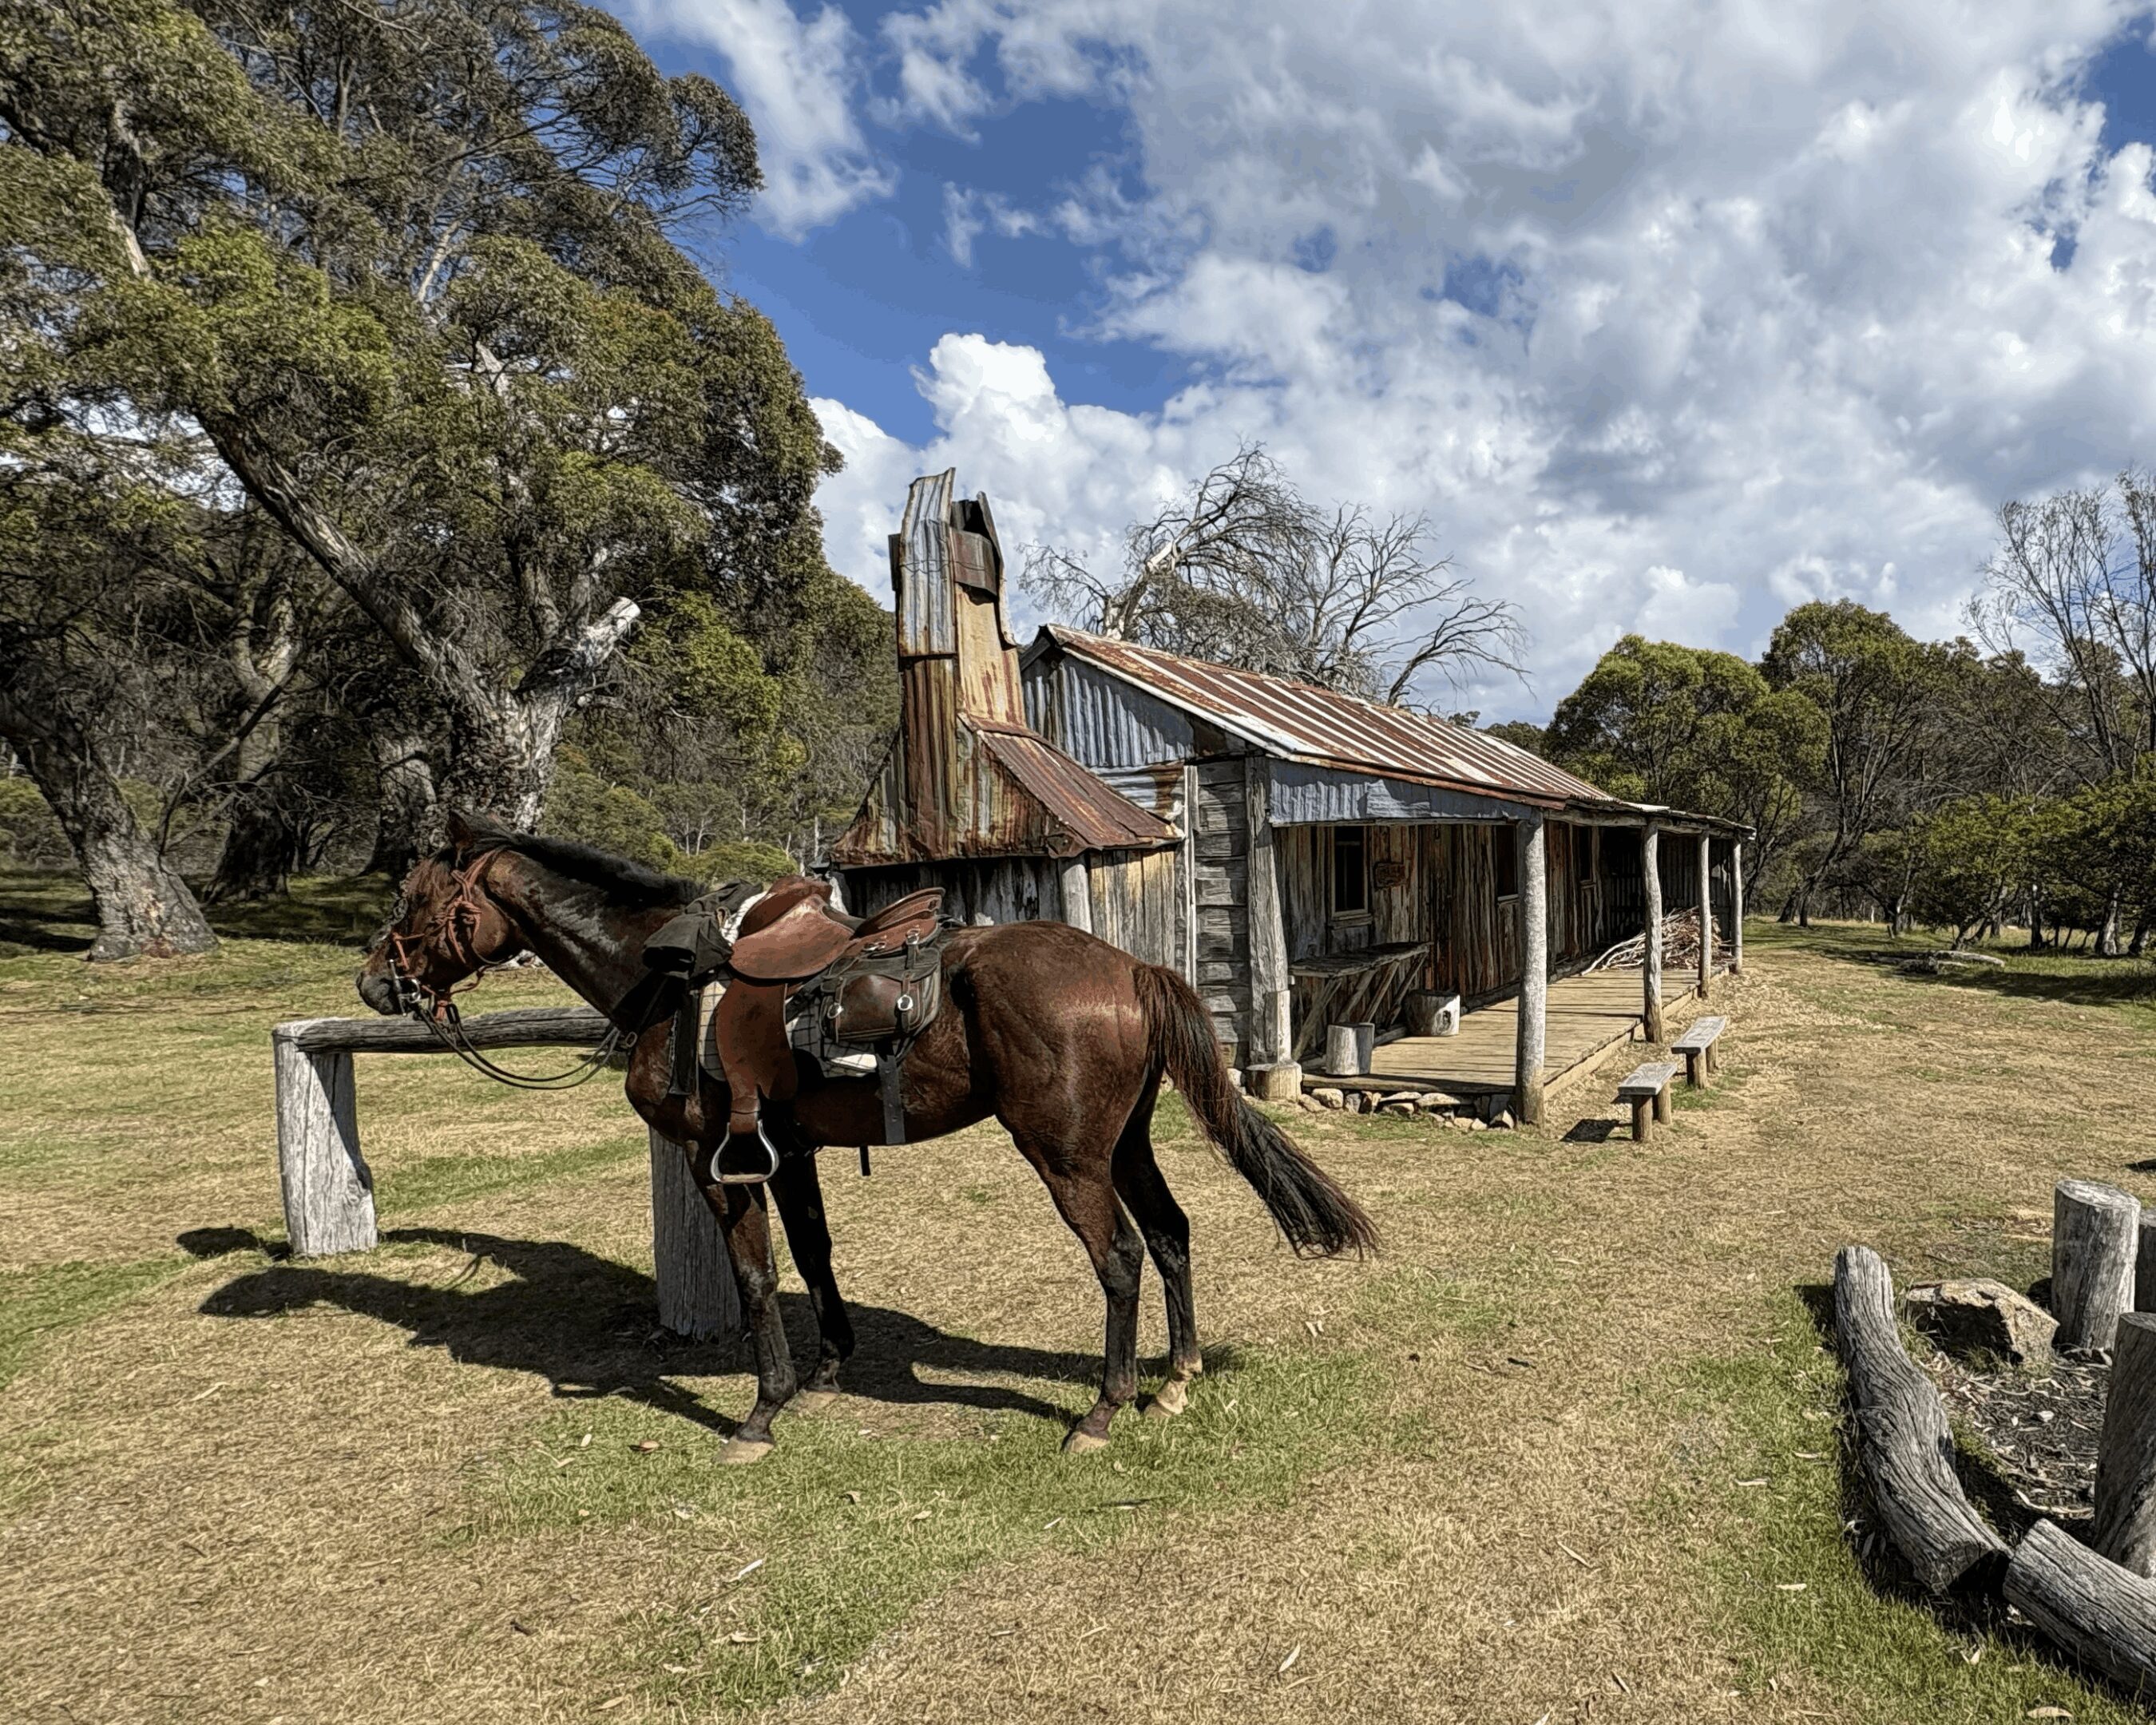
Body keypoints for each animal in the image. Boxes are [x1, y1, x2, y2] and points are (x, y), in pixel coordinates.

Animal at [356, 813, 1376, 1462]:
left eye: (413, 902)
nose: (373, 981)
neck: (667, 978)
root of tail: (1129, 967)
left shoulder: (712, 1159)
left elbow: (757, 1275)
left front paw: (760, 1413)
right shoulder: (785, 1149)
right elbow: (814, 1255)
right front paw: (826, 1371)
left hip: (1068, 1157)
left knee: (1120, 1255)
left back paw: (1102, 1409)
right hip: (1125, 1144)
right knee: (1169, 1234)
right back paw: (1176, 1378)